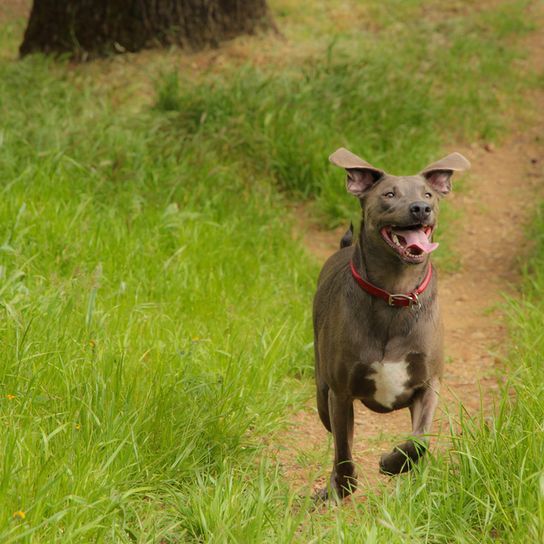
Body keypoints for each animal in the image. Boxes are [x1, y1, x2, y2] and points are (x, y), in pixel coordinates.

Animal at [312, 147, 470, 500]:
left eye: (428, 194)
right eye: (389, 194)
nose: (421, 208)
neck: (394, 294)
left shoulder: (428, 385)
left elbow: (418, 442)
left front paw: (392, 463)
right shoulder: (340, 392)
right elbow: (343, 452)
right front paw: (343, 487)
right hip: (321, 389)